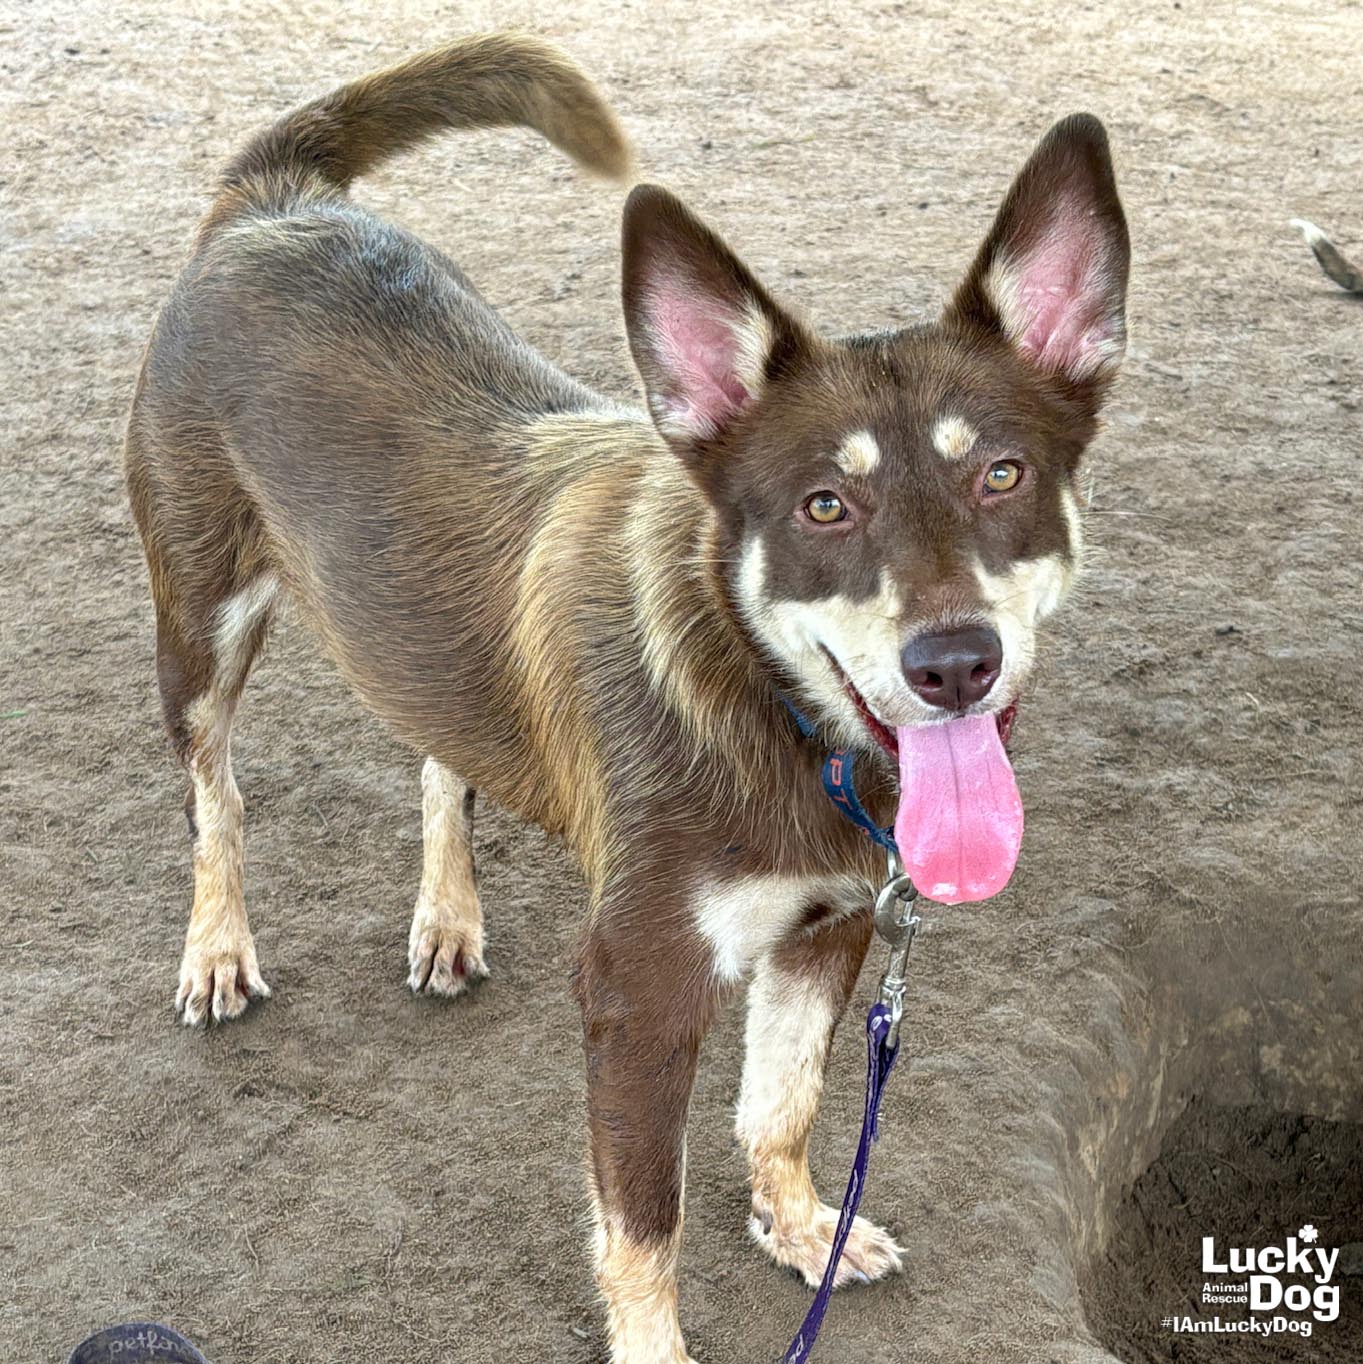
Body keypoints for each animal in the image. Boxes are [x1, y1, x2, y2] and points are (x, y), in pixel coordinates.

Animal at [125, 34, 1129, 1364]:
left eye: (1002, 474)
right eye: (824, 504)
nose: (955, 660)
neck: (767, 709)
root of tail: (270, 201)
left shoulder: (829, 926)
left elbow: (783, 1105)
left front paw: (797, 1226)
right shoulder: (637, 992)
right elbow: (643, 1224)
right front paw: (659, 1337)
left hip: (407, 627)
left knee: (439, 750)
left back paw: (448, 913)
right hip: (200, 618)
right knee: (216, 797)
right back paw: (218, 945)